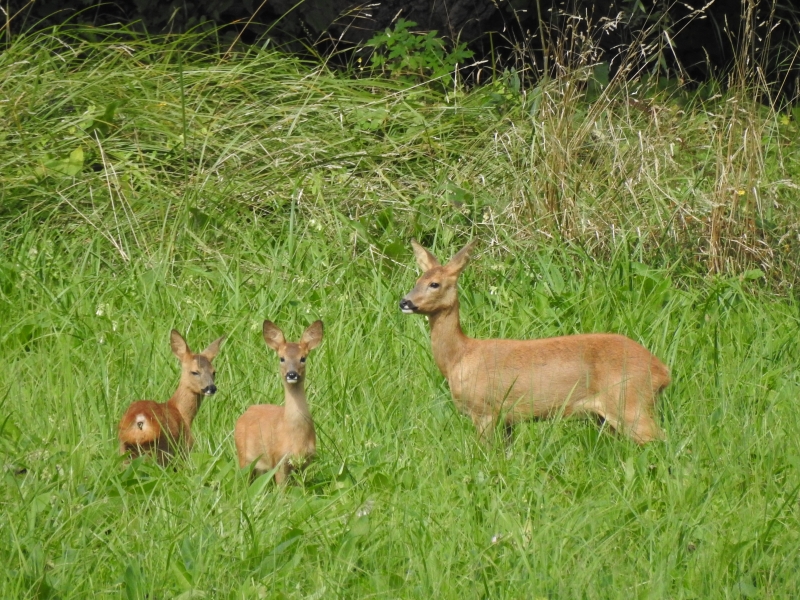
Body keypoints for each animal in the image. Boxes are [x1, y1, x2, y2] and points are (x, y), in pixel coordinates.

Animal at [118, 328, 225, 464]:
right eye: (195, 372)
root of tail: (140, 420)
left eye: (214, 372)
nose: (211, 388)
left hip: (125, 450)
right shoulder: (184, 447)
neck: (181, 412)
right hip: (161, 450)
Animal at [233, 318, 324, 482]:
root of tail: (247, 411)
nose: (292, 374)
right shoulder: (279, 459)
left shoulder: (305, 461)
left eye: (303, 358)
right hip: (243, 457)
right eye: (282, 358)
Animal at [400, 240, 668, 446]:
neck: (459, 357)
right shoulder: (506, 420)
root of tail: (662, 371)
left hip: (629, 400)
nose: (405, 302)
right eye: (416, 280)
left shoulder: (484, 410)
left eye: (434, 284)